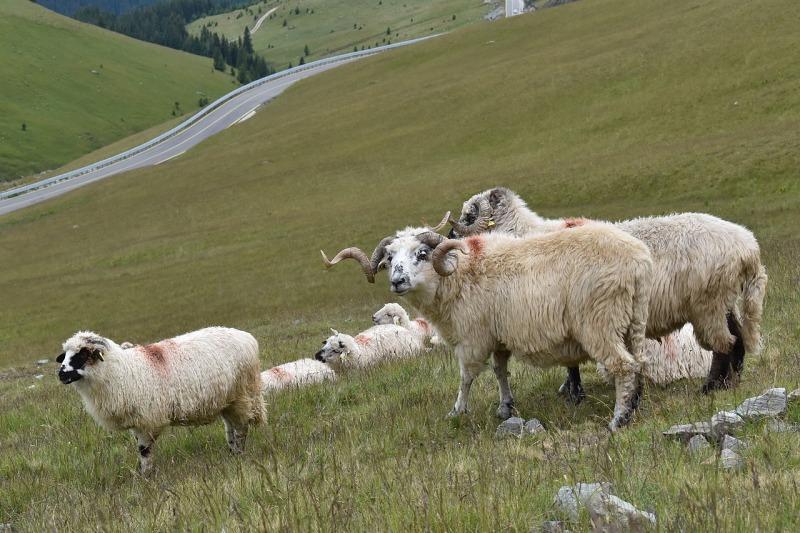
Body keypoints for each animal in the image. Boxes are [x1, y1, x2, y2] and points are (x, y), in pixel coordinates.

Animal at [54, 328, 266, 474]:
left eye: (82, 354)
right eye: (64, 356)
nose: (61, 375)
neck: (123, 371)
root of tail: (248, 337)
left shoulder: (147, 419)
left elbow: (144, 450)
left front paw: (146, 476)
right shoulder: (137, 422)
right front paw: (142, 473)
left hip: (242, 394)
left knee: (241, 428)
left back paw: (239, 454)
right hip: (228, 400)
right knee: (231, 427)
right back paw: (232, 452)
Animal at [322, 220, 652, 432]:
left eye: (422, 254)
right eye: (390, 258)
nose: (397, 281)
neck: (458, 271)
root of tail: (637, 260)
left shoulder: (473, 336)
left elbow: (466, 377)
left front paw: (457, 412)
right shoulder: (498, 334)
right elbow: (500, 370)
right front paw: (505, 406)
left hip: (599, 321)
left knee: (623, 365)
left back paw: (618, 420)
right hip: (633, 319)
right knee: (639, 361)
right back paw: (634, 404)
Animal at [450, 185, 768, 396]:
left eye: (469, 215)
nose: (449, 239)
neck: (522, 235)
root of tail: (748, 245)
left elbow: (571, 363)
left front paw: (574, 393)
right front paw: (571, 390)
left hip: (707, 303)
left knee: (724, 345)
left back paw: (711, 386)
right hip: (723, 299)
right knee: (738, 337)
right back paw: (730, 381)